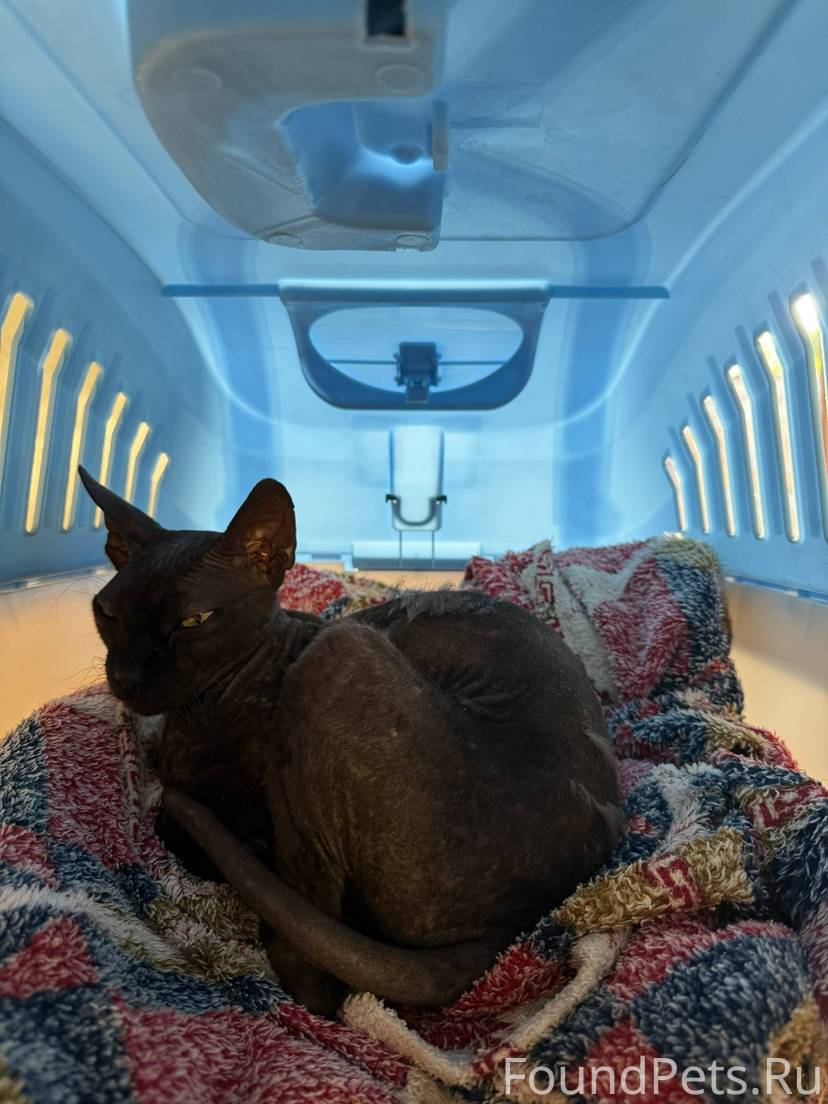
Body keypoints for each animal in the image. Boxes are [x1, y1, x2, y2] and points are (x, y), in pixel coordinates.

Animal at [79, 466, 622, 1015]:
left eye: (193, 621)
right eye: (107, 613)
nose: (126, 675)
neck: (203, 712)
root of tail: (521, 924)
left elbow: (179, 821)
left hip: (339, 654)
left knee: (315, 970)